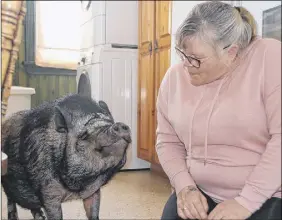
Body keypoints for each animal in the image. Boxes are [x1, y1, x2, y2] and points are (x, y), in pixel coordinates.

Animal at [1, 93, 132, 219]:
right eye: (83, 135)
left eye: (110, 122)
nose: (119, 125)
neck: (80, 186)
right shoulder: (48, 192)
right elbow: (55, 214)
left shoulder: (93, 192)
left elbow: (93, 211)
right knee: (11, 200)